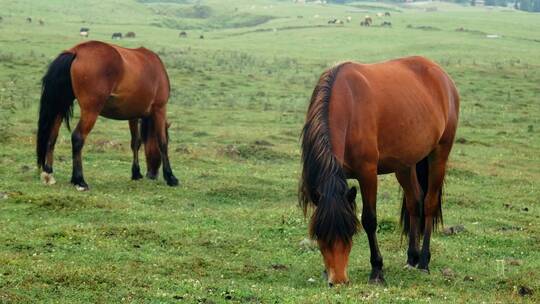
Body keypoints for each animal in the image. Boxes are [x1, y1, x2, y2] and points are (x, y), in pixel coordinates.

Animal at [36, 39, 179, 190]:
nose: (152, 175)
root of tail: (76, 51)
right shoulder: (160, 109)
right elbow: (162, 143)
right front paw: (170, 177)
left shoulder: (133, 116)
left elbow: (135, 142)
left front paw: (136, 173)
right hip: (91, 111)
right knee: (77, 137)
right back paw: (79, 180)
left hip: (60, 106)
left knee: (52, 136)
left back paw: (48, 173)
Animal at [300, 56, 460, 284]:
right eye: (320, 235)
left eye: (349, 233)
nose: (338, 280)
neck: (348, 104)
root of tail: (442, 75)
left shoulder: (367, 173)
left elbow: (369, 219)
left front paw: (377, 270)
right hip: (405, 164)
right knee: (415, 202)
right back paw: (412, 258)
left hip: (439, 154)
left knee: (429, 204)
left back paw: (423, 262)